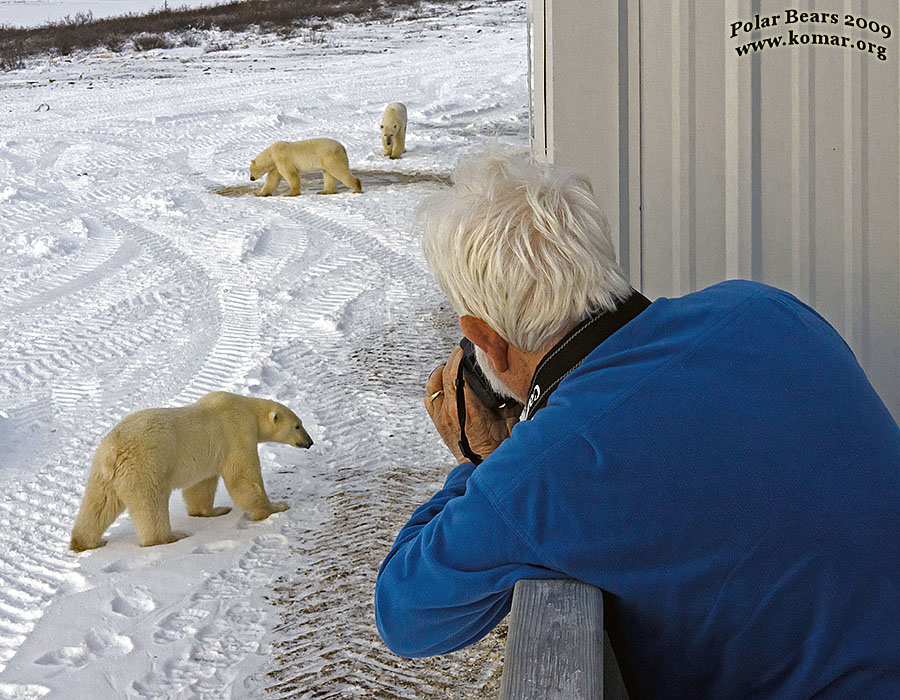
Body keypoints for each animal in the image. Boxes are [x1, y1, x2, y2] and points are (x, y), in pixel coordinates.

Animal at [67, 392, 312, 548]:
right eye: (298, 425)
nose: (309, 442)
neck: (247, 409)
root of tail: (114, 452)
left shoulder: (208, 456)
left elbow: (200, 486)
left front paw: (215, 510)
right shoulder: (237, 432)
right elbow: (242, 476)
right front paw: (275, 507)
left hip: (103, 473)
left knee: (98, 504)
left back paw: (86, 541)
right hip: (146, 467)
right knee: (150, 504)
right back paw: (171, 536)